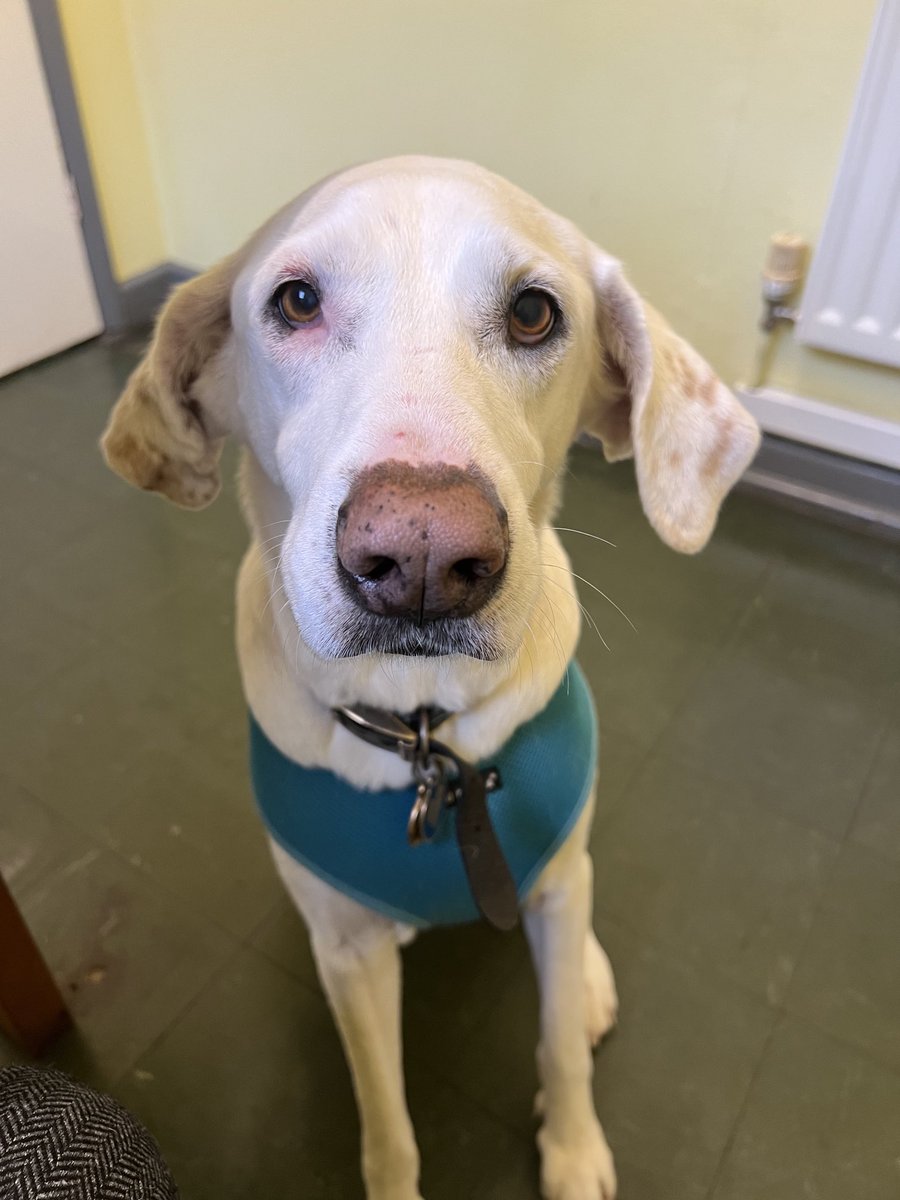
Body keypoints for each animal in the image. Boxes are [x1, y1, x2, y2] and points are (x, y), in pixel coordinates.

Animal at [100, 159, 763, 1200]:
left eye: (534, 313)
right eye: (295, 301)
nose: (419, 554)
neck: (422, 732)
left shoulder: (551, 883)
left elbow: (557, 1045)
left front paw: (574, 1150)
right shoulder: (349, 955)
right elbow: (387, 1122)